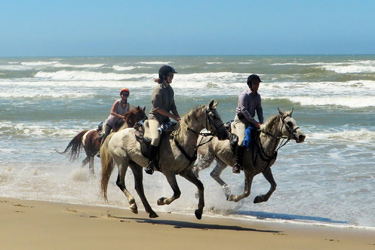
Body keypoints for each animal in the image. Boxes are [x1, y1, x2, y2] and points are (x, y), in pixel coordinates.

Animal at [100, 100, 229, 220]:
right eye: (214, 116)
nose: (225, 134)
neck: (181, 141)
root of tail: (115, 134)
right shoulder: (169, 172)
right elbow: (177, 192)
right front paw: (161, 201)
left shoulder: (185, 172)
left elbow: (200, 186)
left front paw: (199, 211)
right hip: (122, 161)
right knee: (120, 182)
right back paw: (133, 204)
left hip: (135, 165)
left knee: (139, 187)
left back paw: (150, 211)